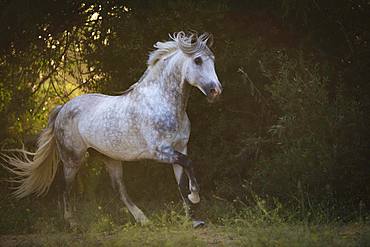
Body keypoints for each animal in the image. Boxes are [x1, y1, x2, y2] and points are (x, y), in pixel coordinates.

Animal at [1, 30, 223, 228]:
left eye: (212, 60)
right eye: (198, 60)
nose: (216, 91)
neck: (162, 102)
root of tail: (63, 108)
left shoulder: (179, 147)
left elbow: (181, 182)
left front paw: (193, 220)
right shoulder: (160, 152)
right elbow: (189, 164)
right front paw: (195, 196)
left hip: (110, 158)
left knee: (119, 190)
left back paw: (143, 220)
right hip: (72, 159)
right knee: (65, 189)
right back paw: (72, 224)